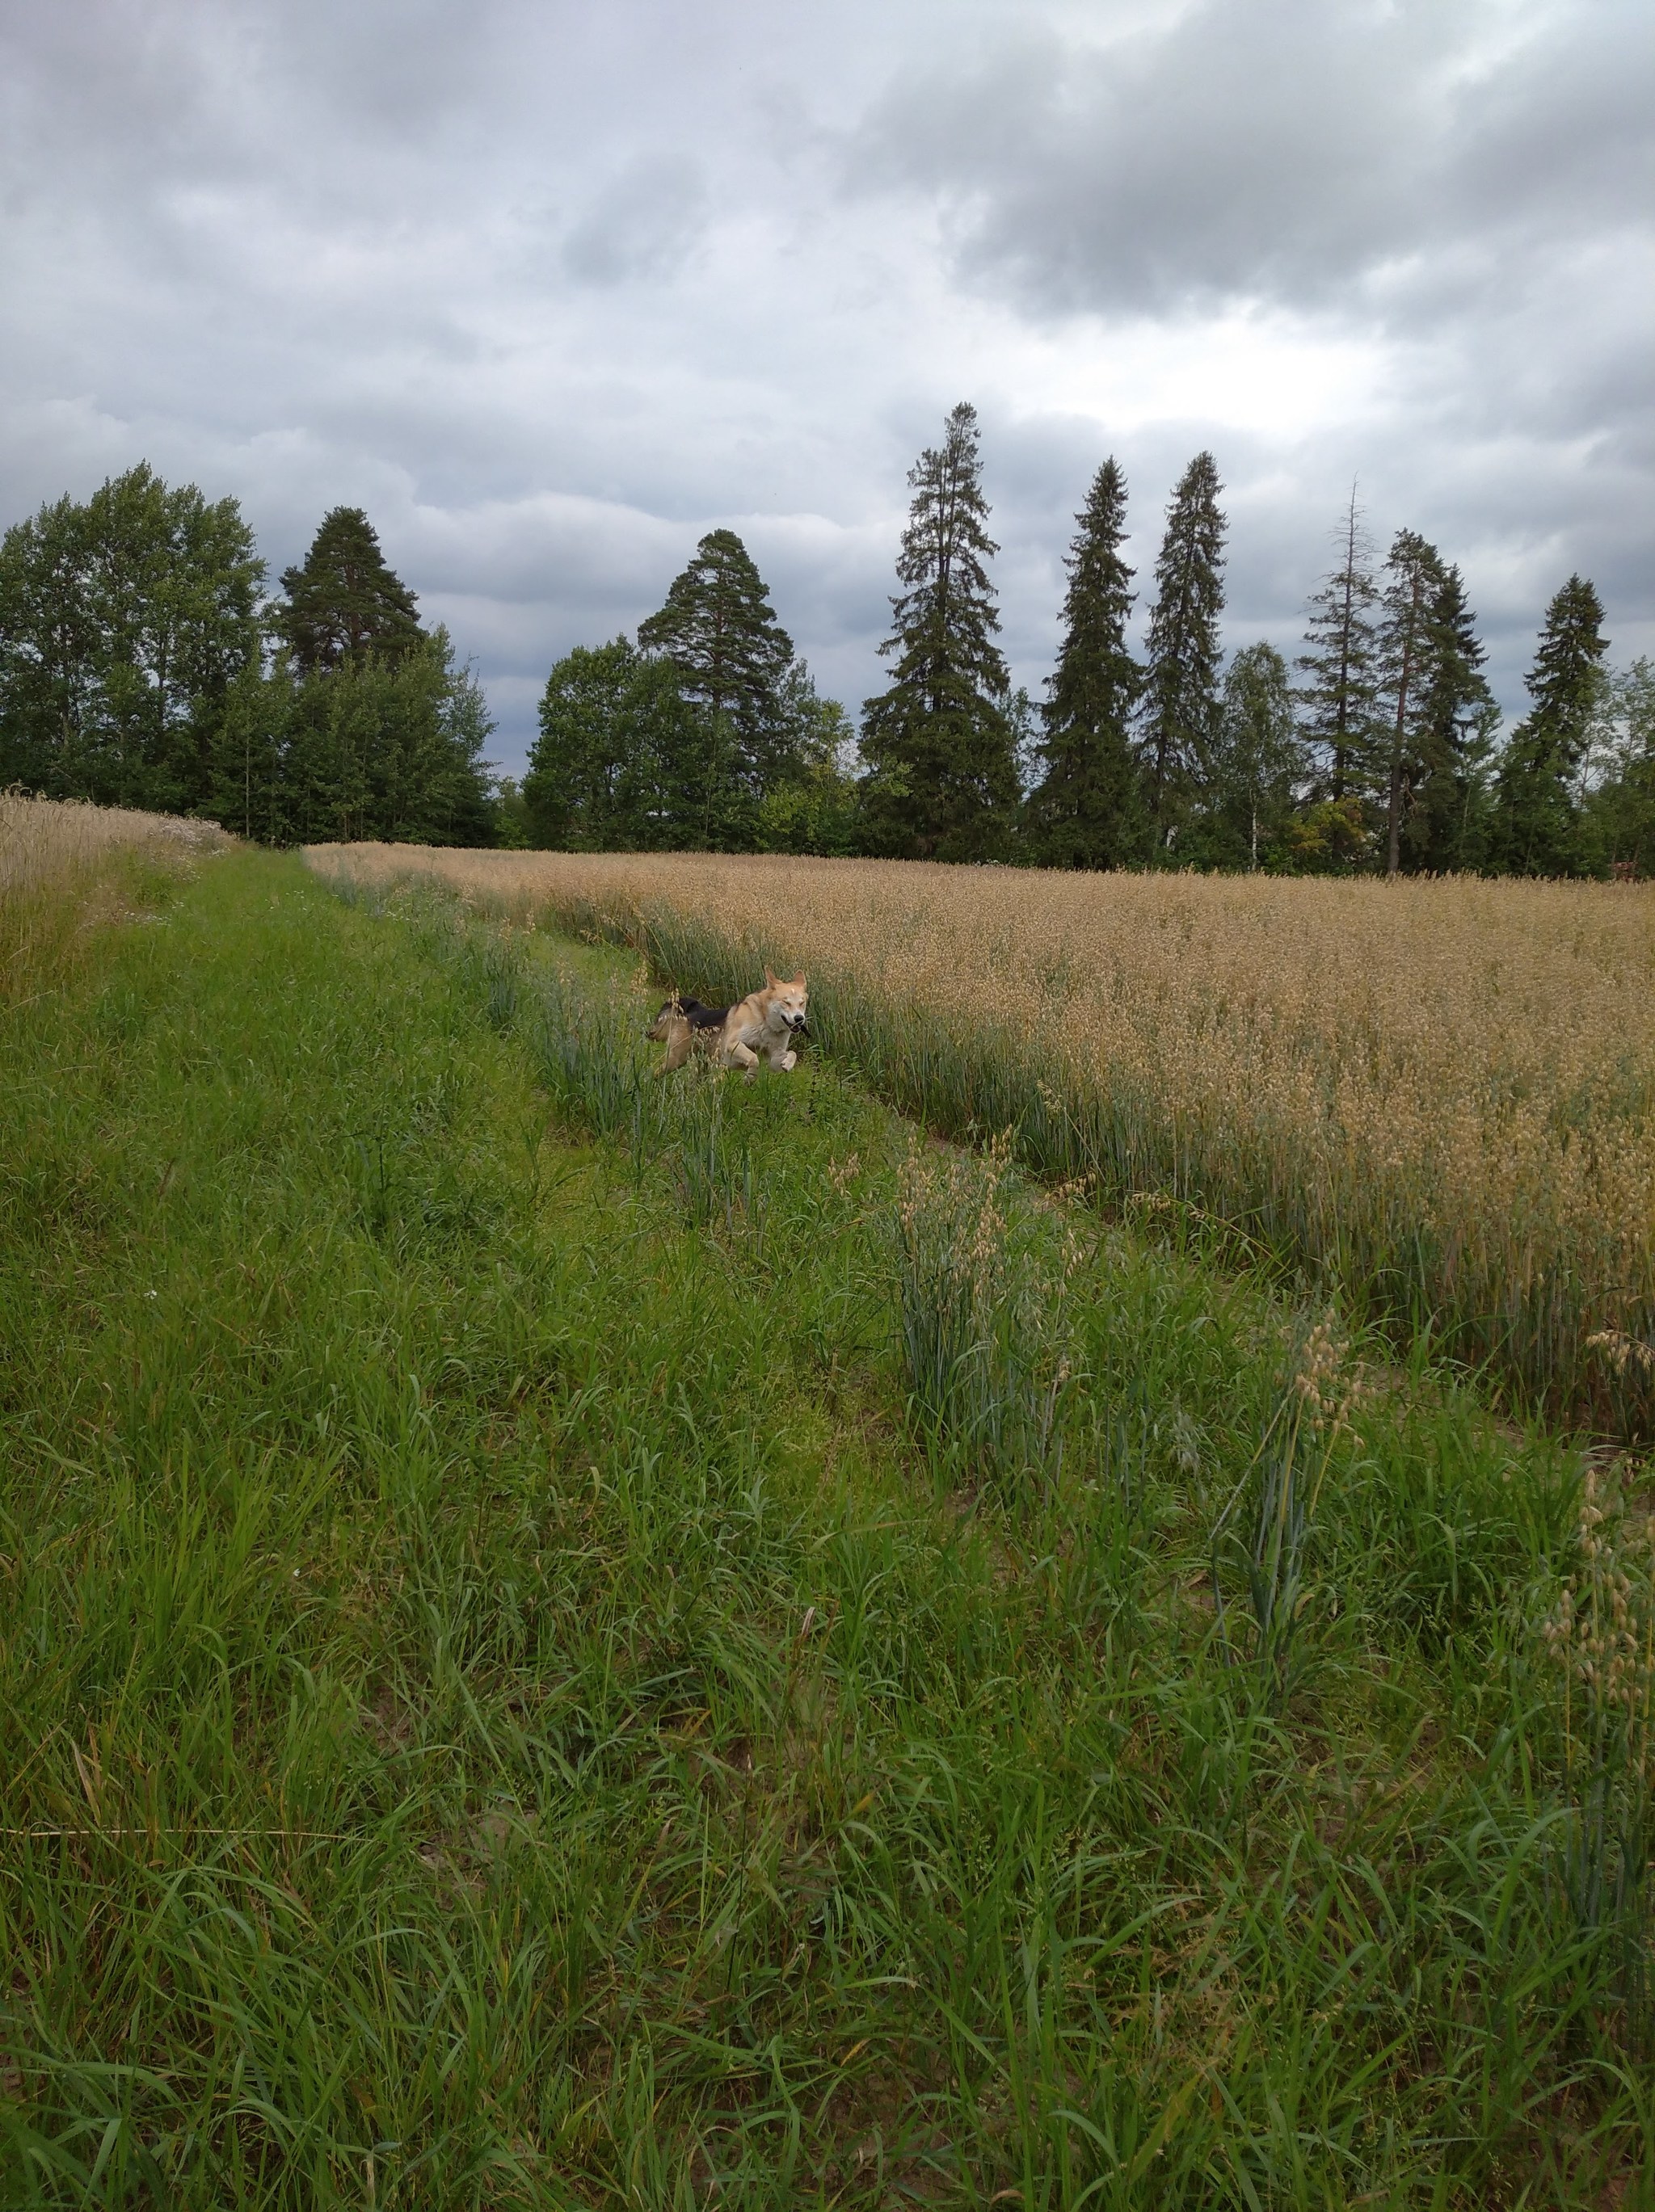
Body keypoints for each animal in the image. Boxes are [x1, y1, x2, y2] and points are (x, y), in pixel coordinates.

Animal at [717, 969, 810, 1079]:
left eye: (802, 1003)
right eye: (786, 1002)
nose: (799, 1018)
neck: (766, 1023)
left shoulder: (773, 1059)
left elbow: (793, 1053)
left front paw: (787, 1064)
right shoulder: (732, 1044)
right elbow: (754, 1059)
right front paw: (750, 1078)